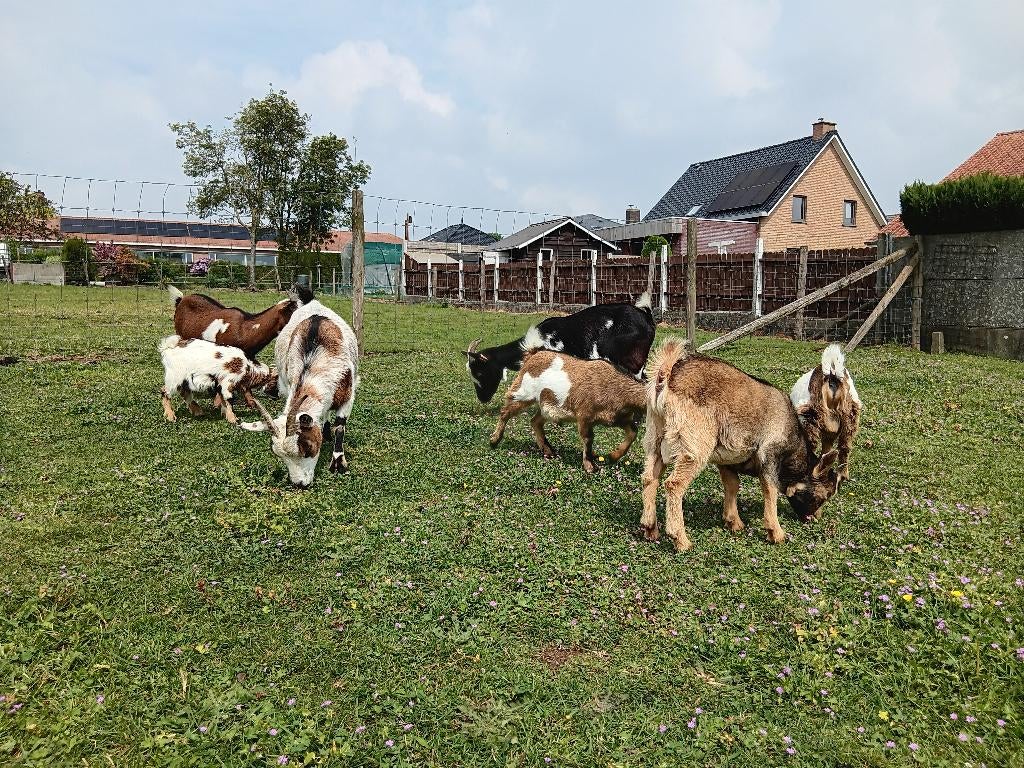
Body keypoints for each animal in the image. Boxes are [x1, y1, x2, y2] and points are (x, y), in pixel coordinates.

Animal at [240, 298, 358, 489]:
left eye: (307, 446)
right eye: (277, 454)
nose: (299, 484)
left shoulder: (348, 394)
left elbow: (340, 426)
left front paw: (338, 464)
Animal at [489, 344, 647, 472]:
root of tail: (531, 356)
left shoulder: (619, 418)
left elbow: (633, 432)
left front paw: (613, 456)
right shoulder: (584, 415)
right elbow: (588, 438)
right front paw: (590, 466)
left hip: (547, 404)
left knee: (535, 421)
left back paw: (548, 451)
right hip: (523, 393)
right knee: (505, 412)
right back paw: (494, 440)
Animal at [640, 339, 841, 551]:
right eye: (826, 494)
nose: (814, 518)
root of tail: (666, 375)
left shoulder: (727, 460)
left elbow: (732, 485)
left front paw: (734, 522)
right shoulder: (769, 455)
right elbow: (770, 490)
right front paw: (776, 533)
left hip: (655, 437)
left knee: (649, 478)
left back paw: (650, 528)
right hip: (694, 444)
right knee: (674, 484)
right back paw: (680, 539)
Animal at [790, 344, 862, 481]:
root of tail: (832, 376)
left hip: (809, 417)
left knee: (811, 446)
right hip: (850, 418)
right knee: (844, 447)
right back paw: (842, 475)